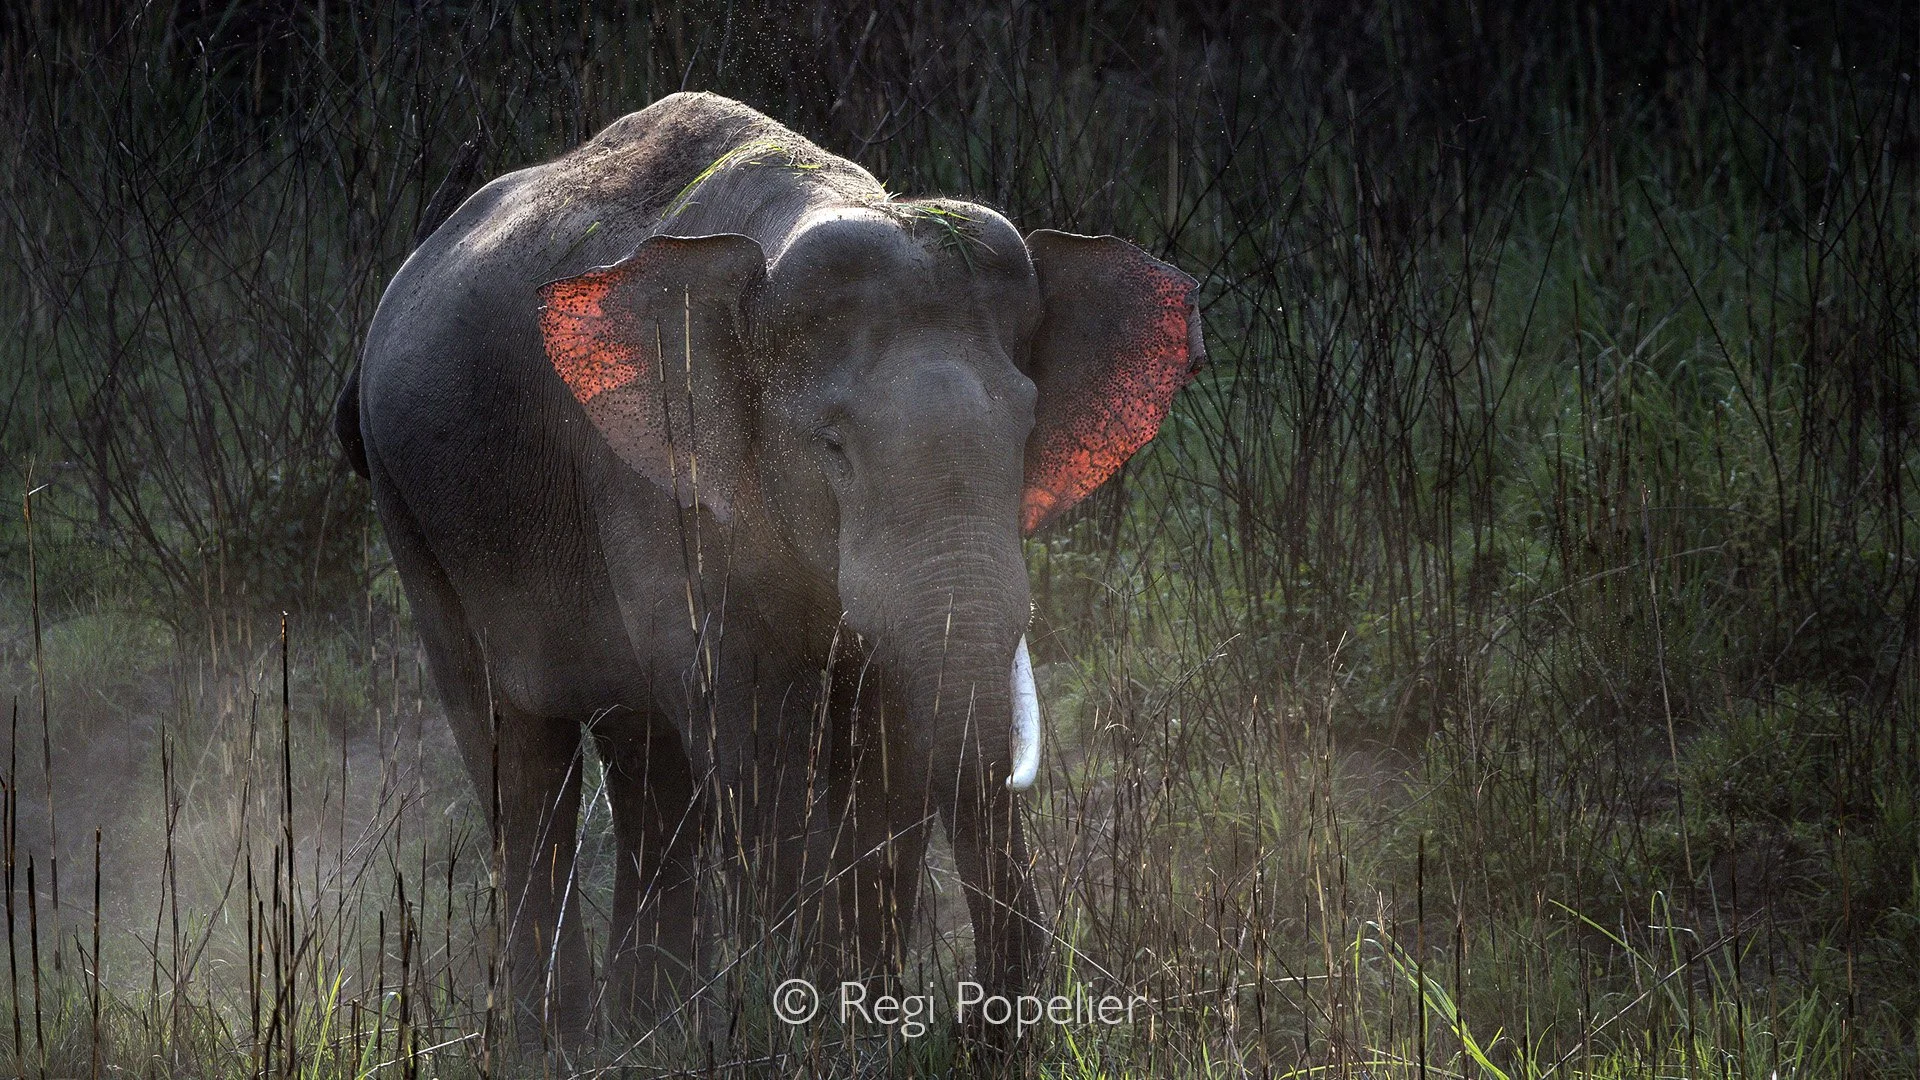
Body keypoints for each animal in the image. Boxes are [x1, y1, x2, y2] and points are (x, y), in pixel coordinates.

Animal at [335, 92, 1203, 1040]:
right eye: (832, 447)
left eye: (1026, 430)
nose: (986, 1024)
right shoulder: (661, 484)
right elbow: (759, 746)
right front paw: (813, 1025)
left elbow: (881, 734)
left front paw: (862, 1019)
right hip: (417, 519)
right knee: (520, 764)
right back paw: (554, 1041)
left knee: (649, 766)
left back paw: (650, 1028)